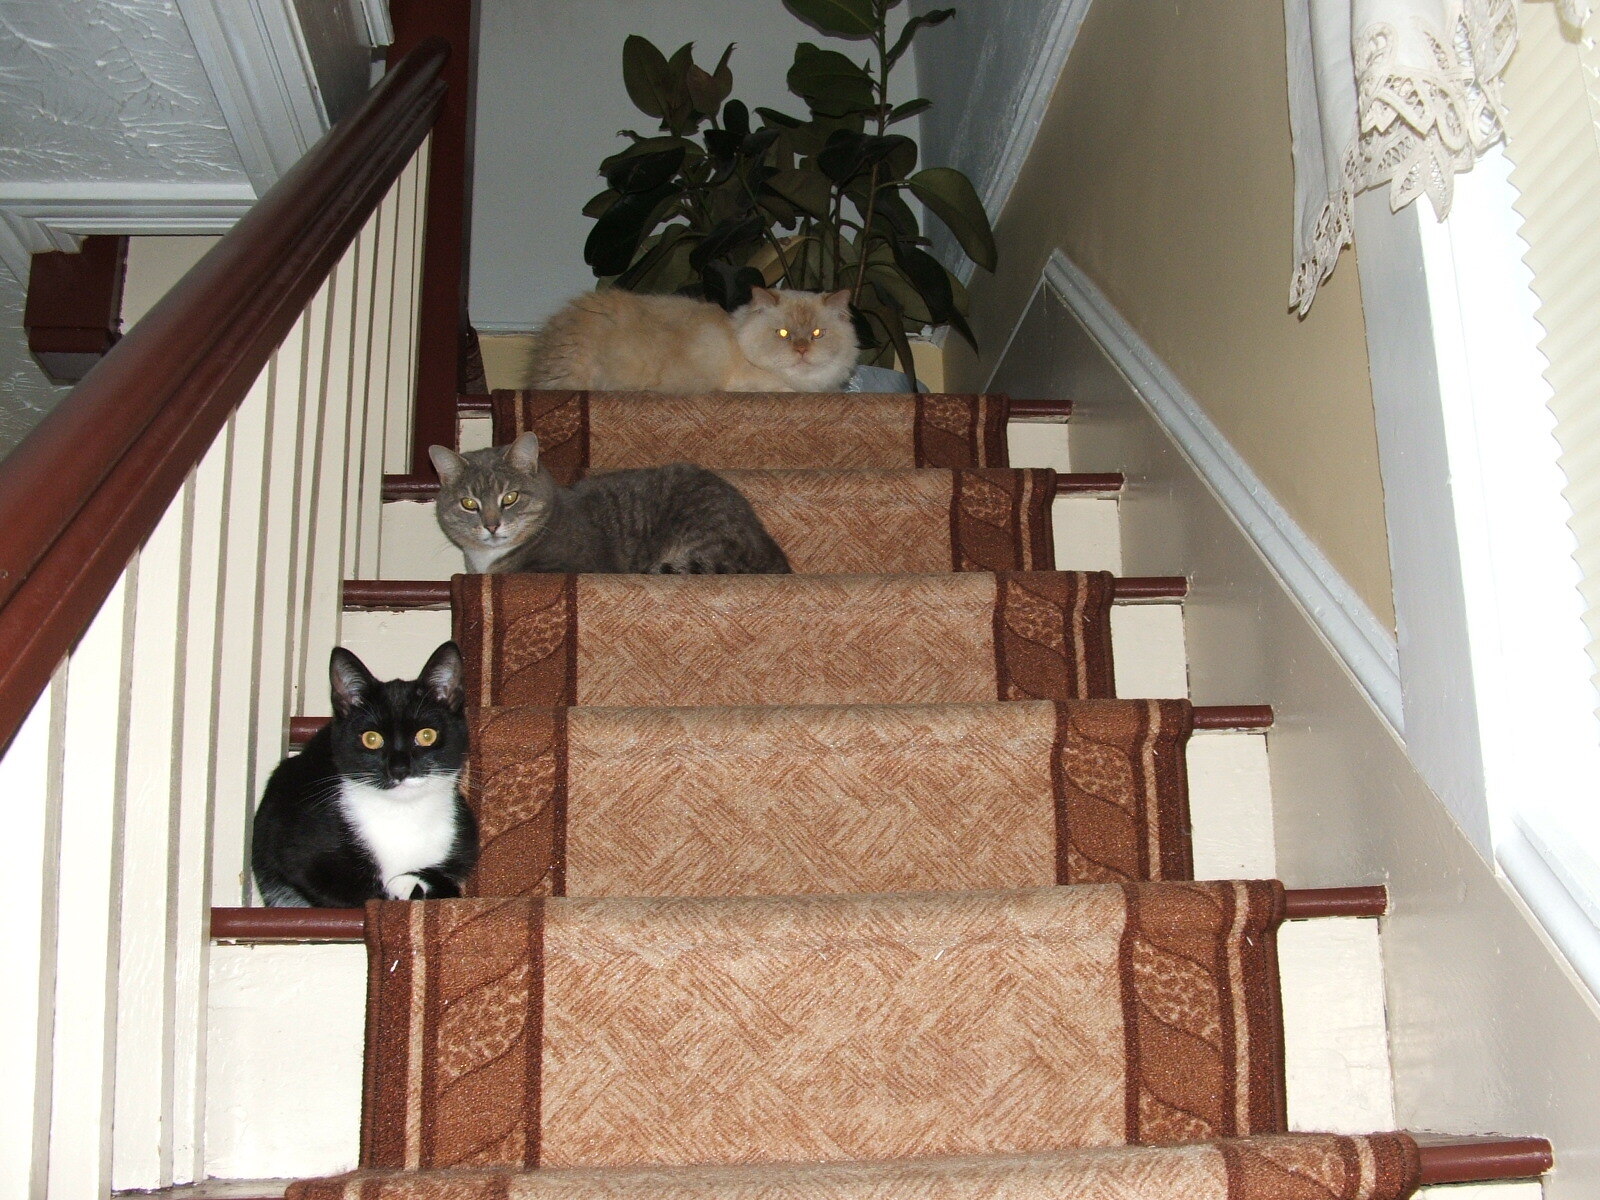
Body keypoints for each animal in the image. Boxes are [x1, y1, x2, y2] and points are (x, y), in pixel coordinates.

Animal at [251, 642, 478, 908]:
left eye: (426, 735)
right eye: (371, 739)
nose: (399, 769)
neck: (402, 813)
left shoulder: (464, 837)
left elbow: (452, 887)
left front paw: (412, 882)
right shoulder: (296, 851)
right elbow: (354, 894)